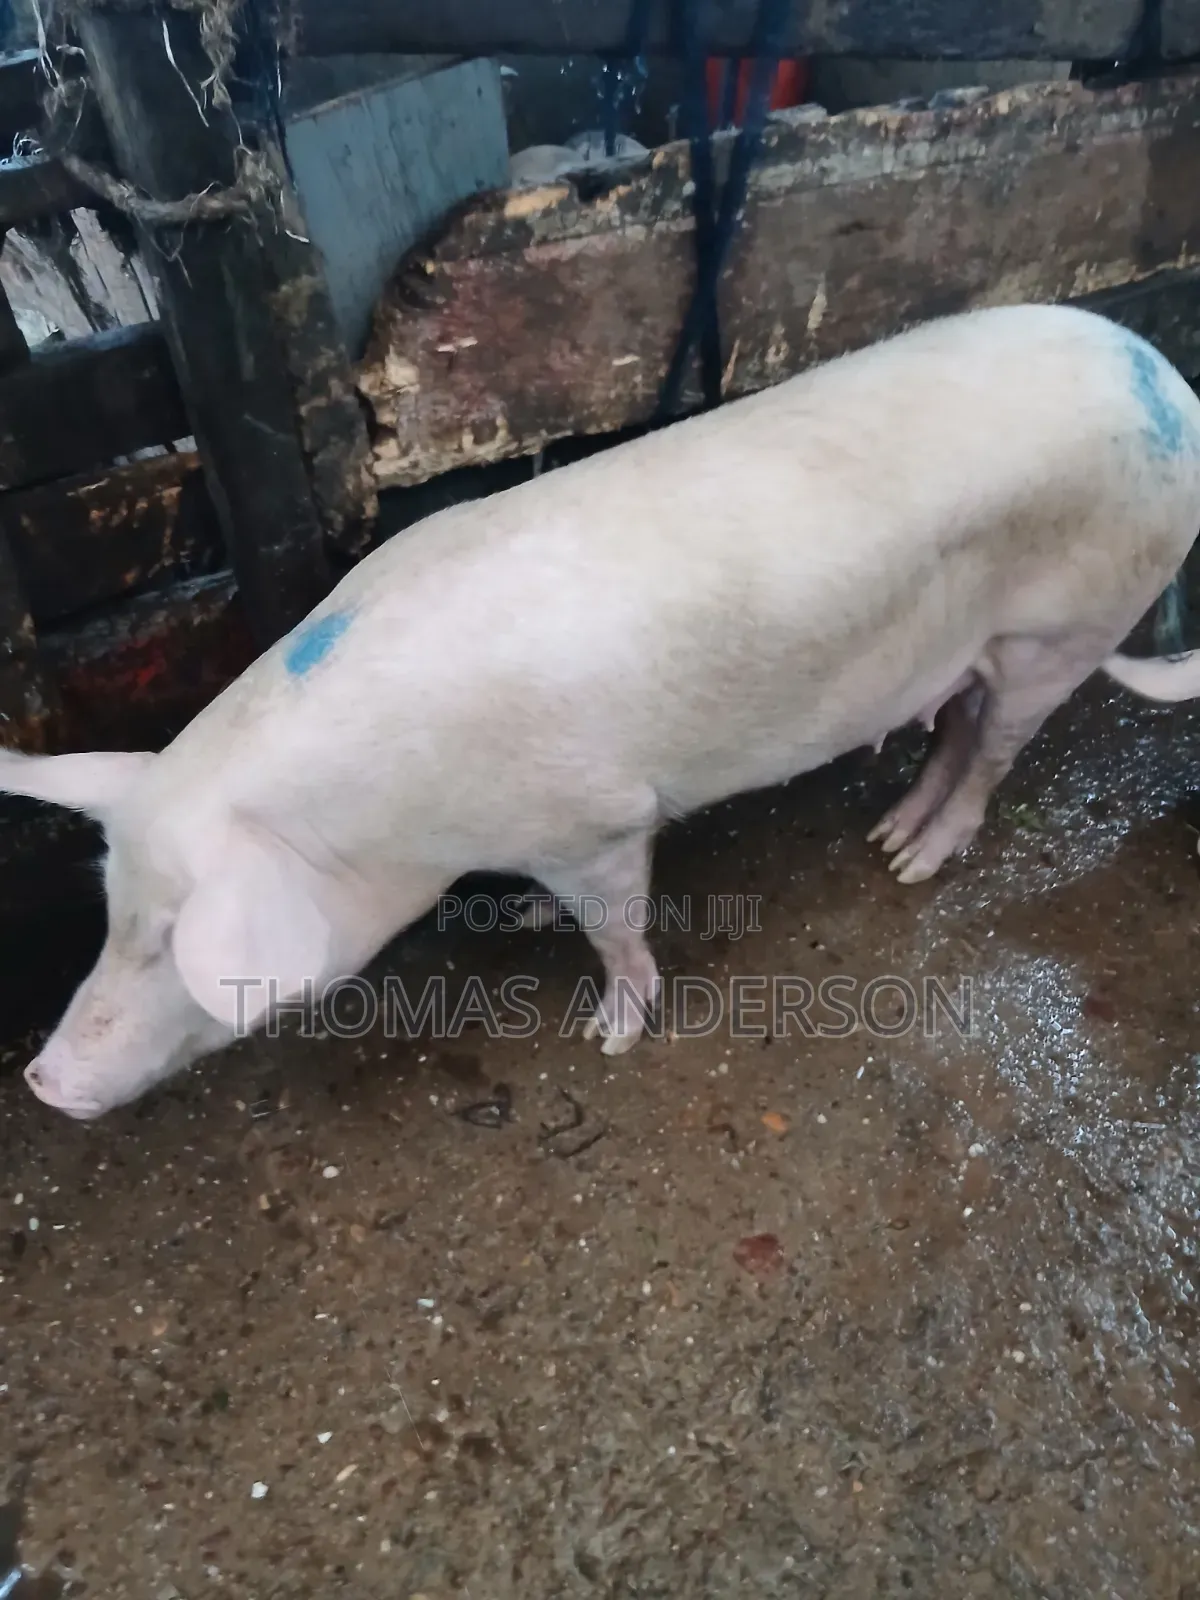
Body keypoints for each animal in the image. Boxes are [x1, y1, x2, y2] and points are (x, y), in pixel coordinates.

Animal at [6, 302, 1200, 1120]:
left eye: (169, 939)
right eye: (111, 913)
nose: (40, 1077)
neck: (386, 820)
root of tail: (1166, 381)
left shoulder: (598, 819)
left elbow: (619, 927)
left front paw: (610, 1038)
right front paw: (532, 923)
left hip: (1064, 629)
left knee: (997, 753)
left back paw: (914, 864)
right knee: (956, 723)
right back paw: (889, 838)